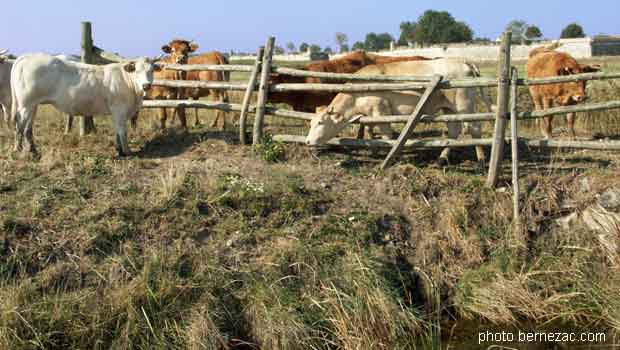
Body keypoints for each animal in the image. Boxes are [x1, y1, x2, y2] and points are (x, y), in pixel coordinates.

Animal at [11, 53, 160, 154]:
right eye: (137, 70)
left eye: (152, 70)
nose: (146, 85)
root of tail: (27, 56)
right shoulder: (120, 110)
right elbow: (122, 131)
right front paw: (126, 151)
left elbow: (117, 131)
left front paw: (119, 149)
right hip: (25, 105)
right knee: (20, 124)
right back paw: (17, 149)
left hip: (32, 105)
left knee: (28, 127)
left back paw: (33, 150)